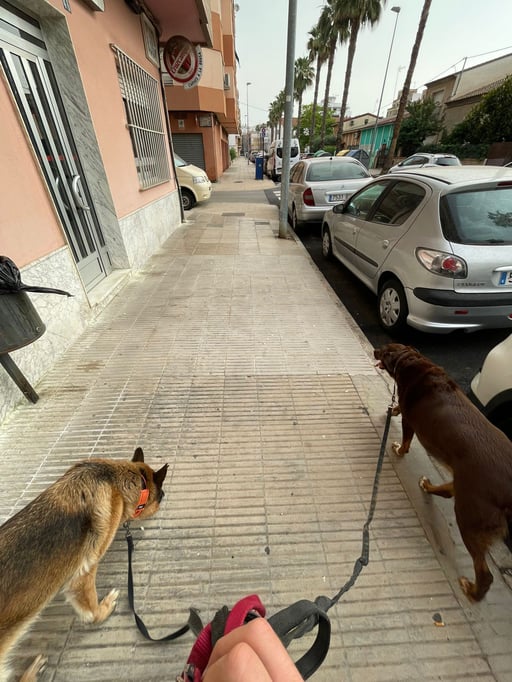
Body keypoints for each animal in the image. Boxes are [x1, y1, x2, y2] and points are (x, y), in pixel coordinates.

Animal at [0, 446, 169, 680]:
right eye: (161, 495)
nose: (166, 497)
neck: (114, 479)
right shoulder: (84, 572)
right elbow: (90, 608)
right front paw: (103, 609)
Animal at [374, 342, 512, 596]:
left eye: (384, 349)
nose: (374, 351)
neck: (408, 360)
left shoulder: (411, 421)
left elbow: (406, 441)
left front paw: (399, 449)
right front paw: (394, 409)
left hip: (471, 515)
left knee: (485, 574)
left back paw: (471, 591)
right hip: (465, 486)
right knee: (448, 490)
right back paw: (427, 486)